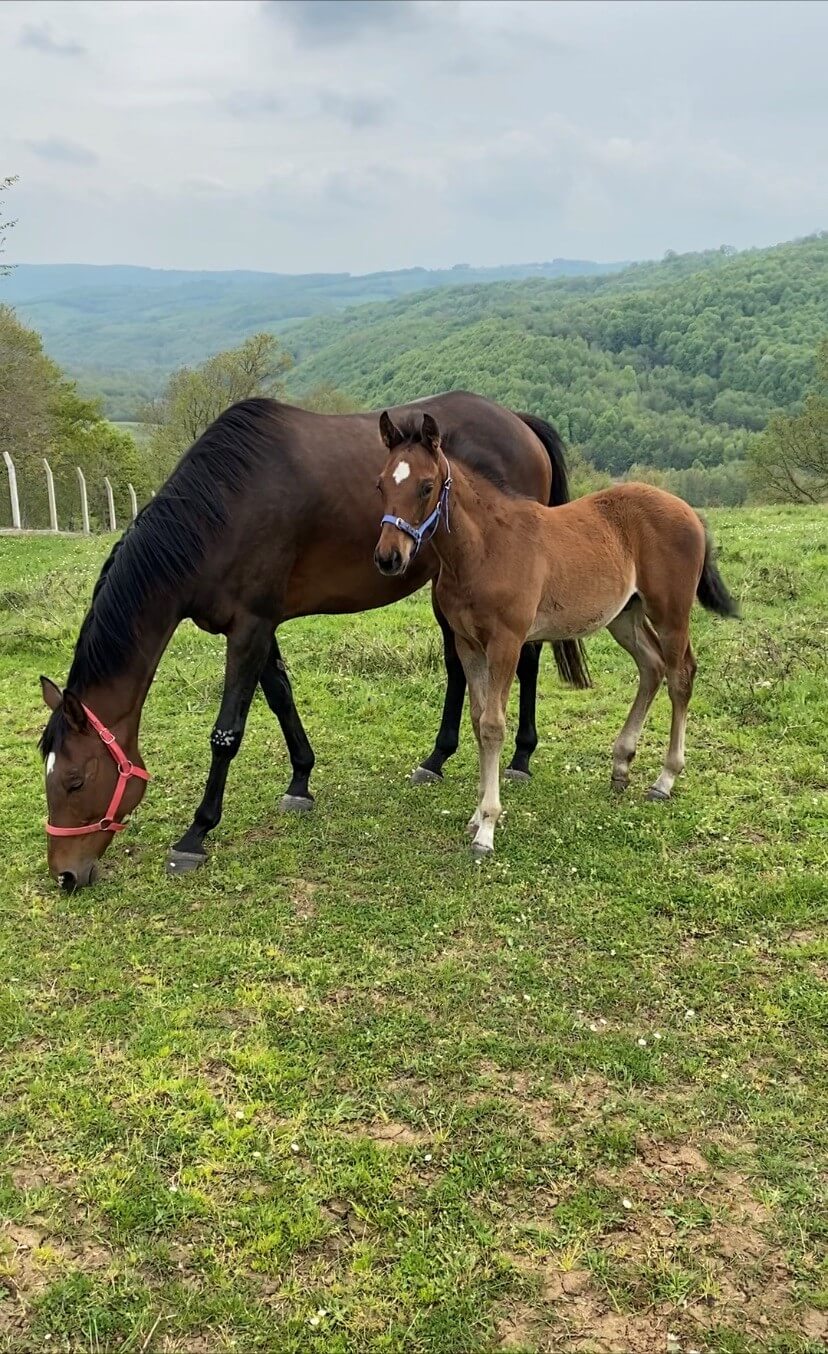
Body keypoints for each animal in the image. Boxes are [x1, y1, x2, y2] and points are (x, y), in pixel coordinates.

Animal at [37, 395, 589, 888]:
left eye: (75, 780)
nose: (66, 874)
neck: (225, 508)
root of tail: (518, 421)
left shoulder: (250, 628)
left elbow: (226, 733)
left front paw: (196, 833)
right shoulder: (257, 626)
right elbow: (281, 696)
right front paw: (300, 781)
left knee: (527, 660)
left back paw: (520, 758)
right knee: (458, 668)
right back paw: (436, 759)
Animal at [376, 406, 736, 861]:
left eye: (426, 486)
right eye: (381, 483)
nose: (389, 558)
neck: (484, 548)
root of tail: (688, 510)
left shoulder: (507, 643)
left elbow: (493, 725)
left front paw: (487, 828)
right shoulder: (468, 644)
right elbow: (477, 721)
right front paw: (476, 815)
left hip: (671, 612)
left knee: (681, 675)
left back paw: (665, 779)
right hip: (625, 615)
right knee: (652, 667)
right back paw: (622, 764)